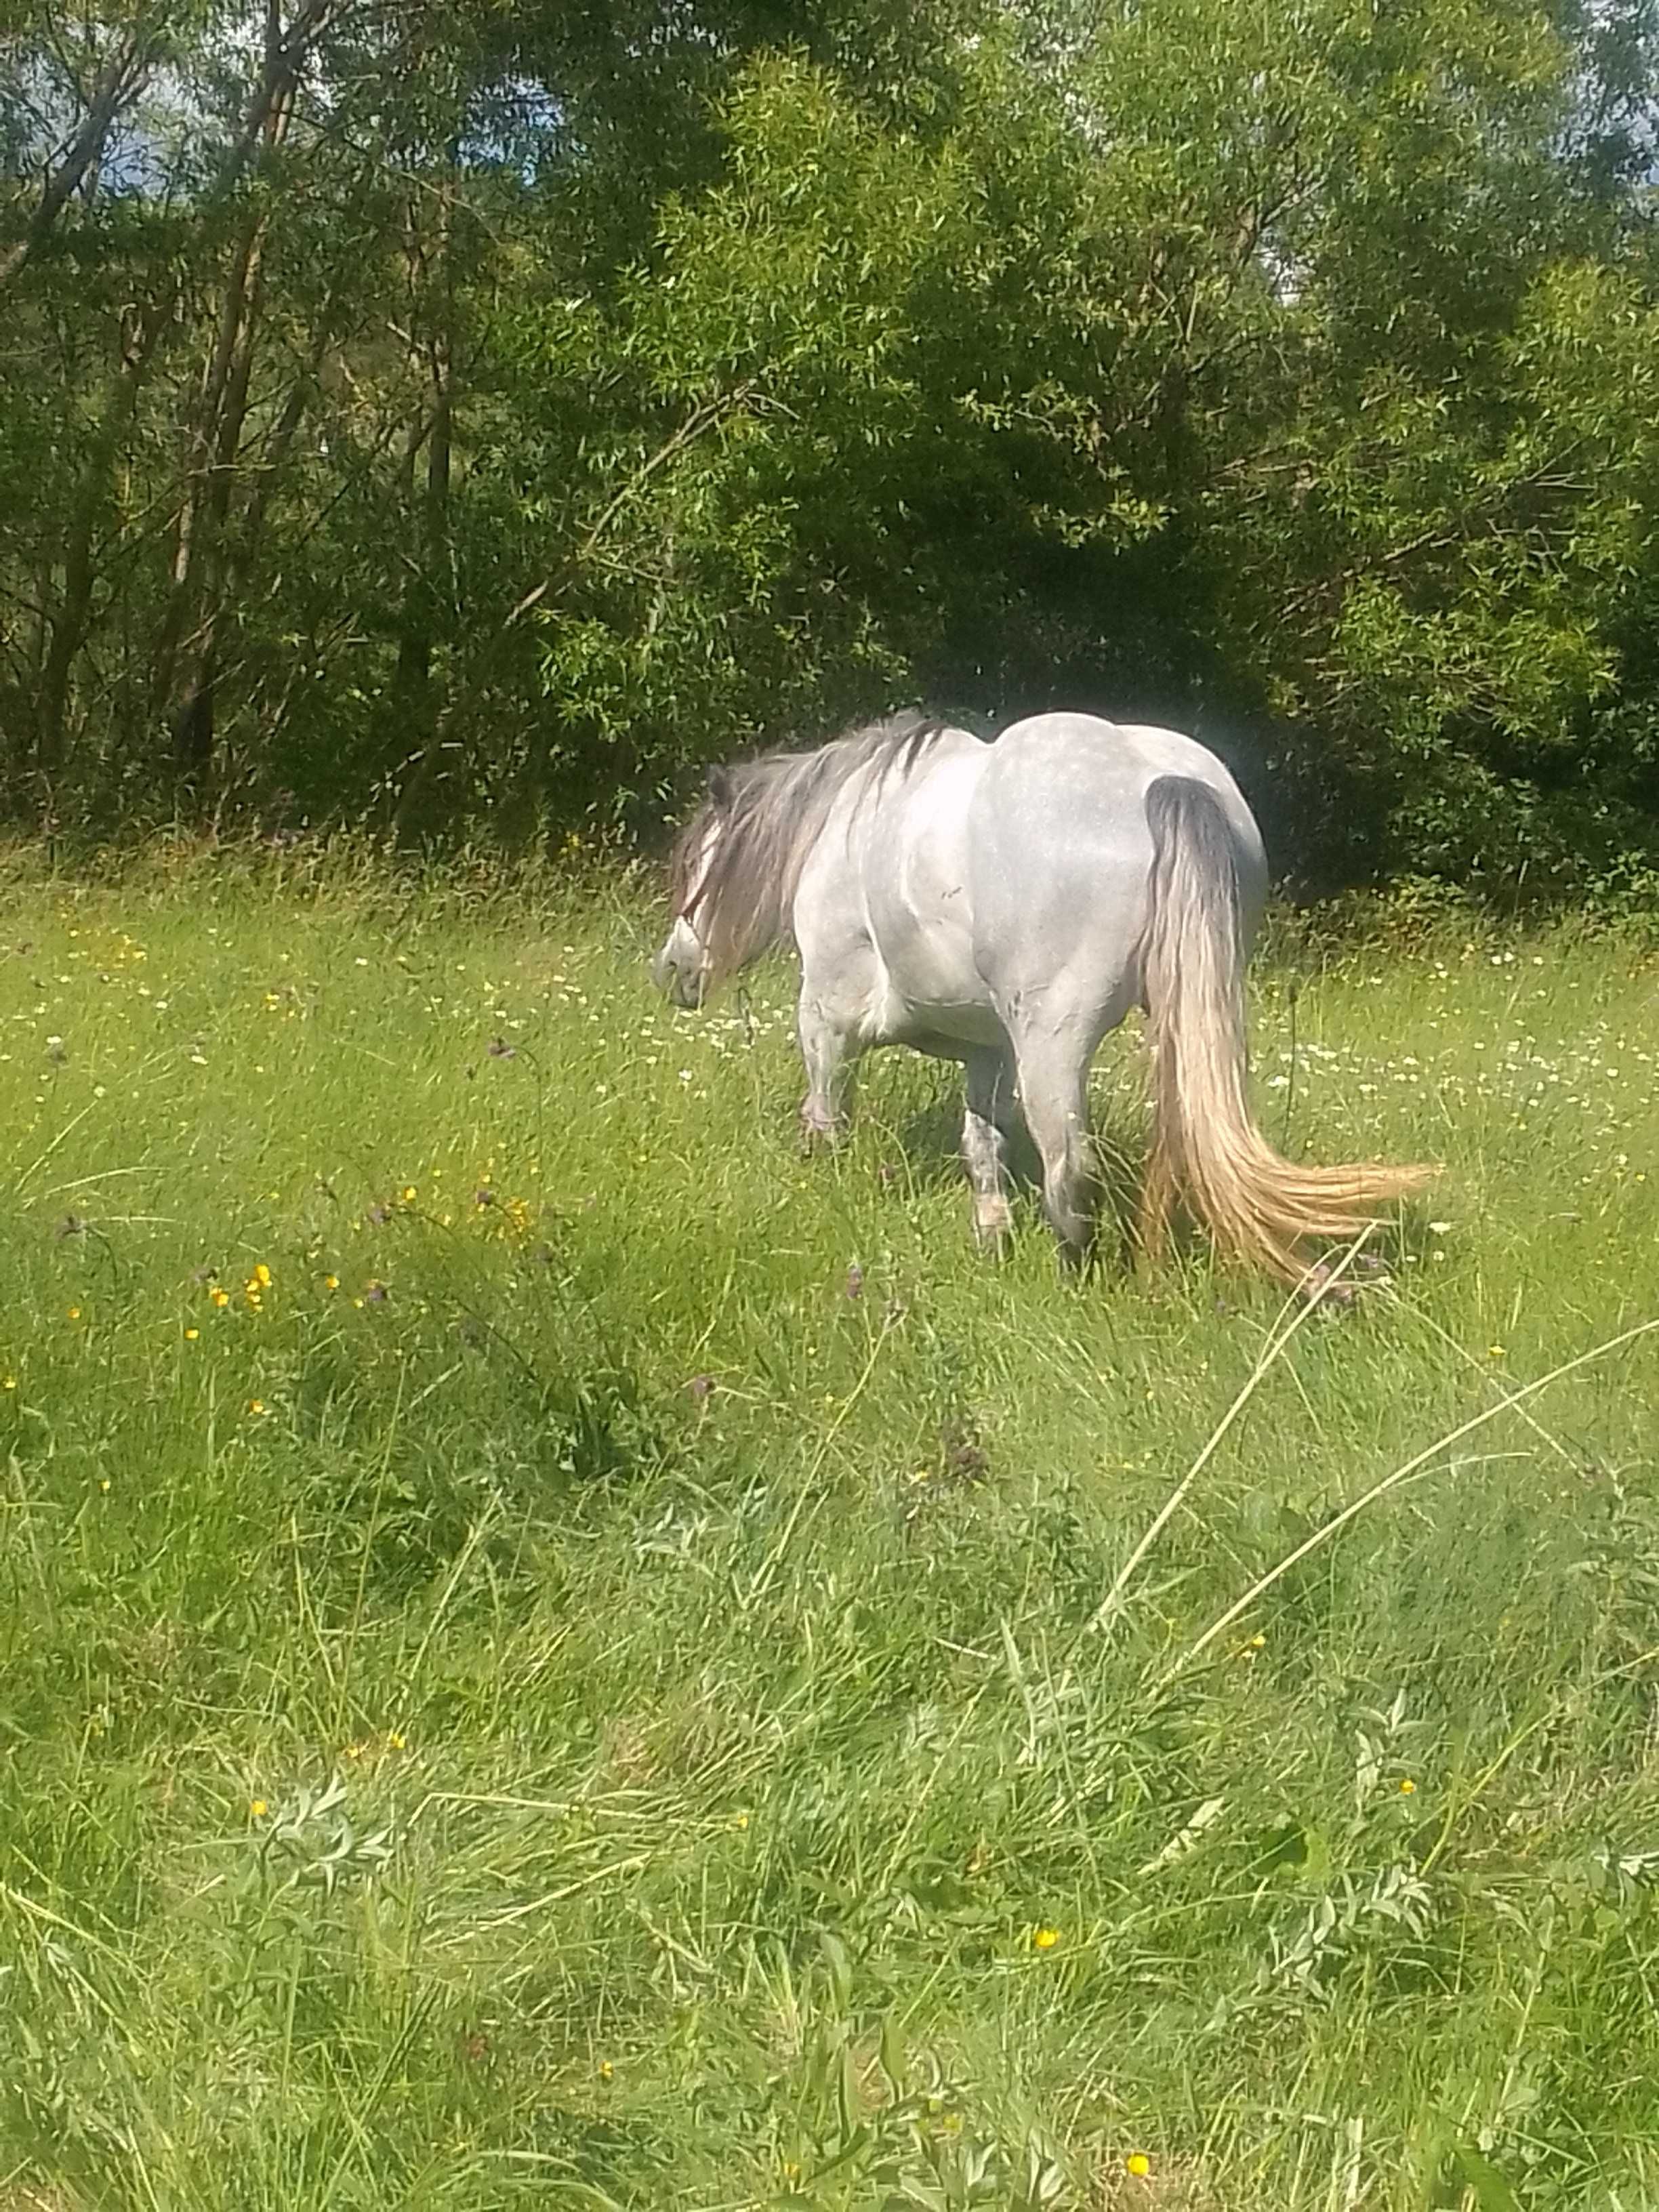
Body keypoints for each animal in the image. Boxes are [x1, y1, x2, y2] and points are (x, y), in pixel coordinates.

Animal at [655, 712, 1433, 1283]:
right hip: (1187, 1020)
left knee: (1070, 1166)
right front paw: (990, 1236)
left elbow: (823, 1117)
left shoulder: (826, 1016)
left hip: (1054, 1041)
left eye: (694, 863)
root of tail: (1159, 780)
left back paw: (1072, 1273)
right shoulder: (986, 1049)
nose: (671, 971)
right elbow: (982, 1146)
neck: (843, 825)